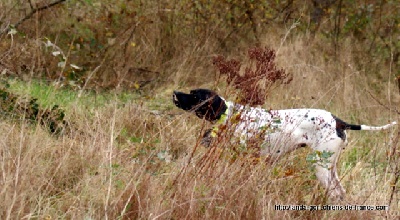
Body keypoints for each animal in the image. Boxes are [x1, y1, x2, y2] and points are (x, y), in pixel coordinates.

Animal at [173, 88, 396, 200]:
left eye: (194, 95)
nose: (174, 93)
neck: (230, 115)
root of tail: (338, 121)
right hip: (330, 168)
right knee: (340, 193)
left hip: (319, 167)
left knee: (334, 194)